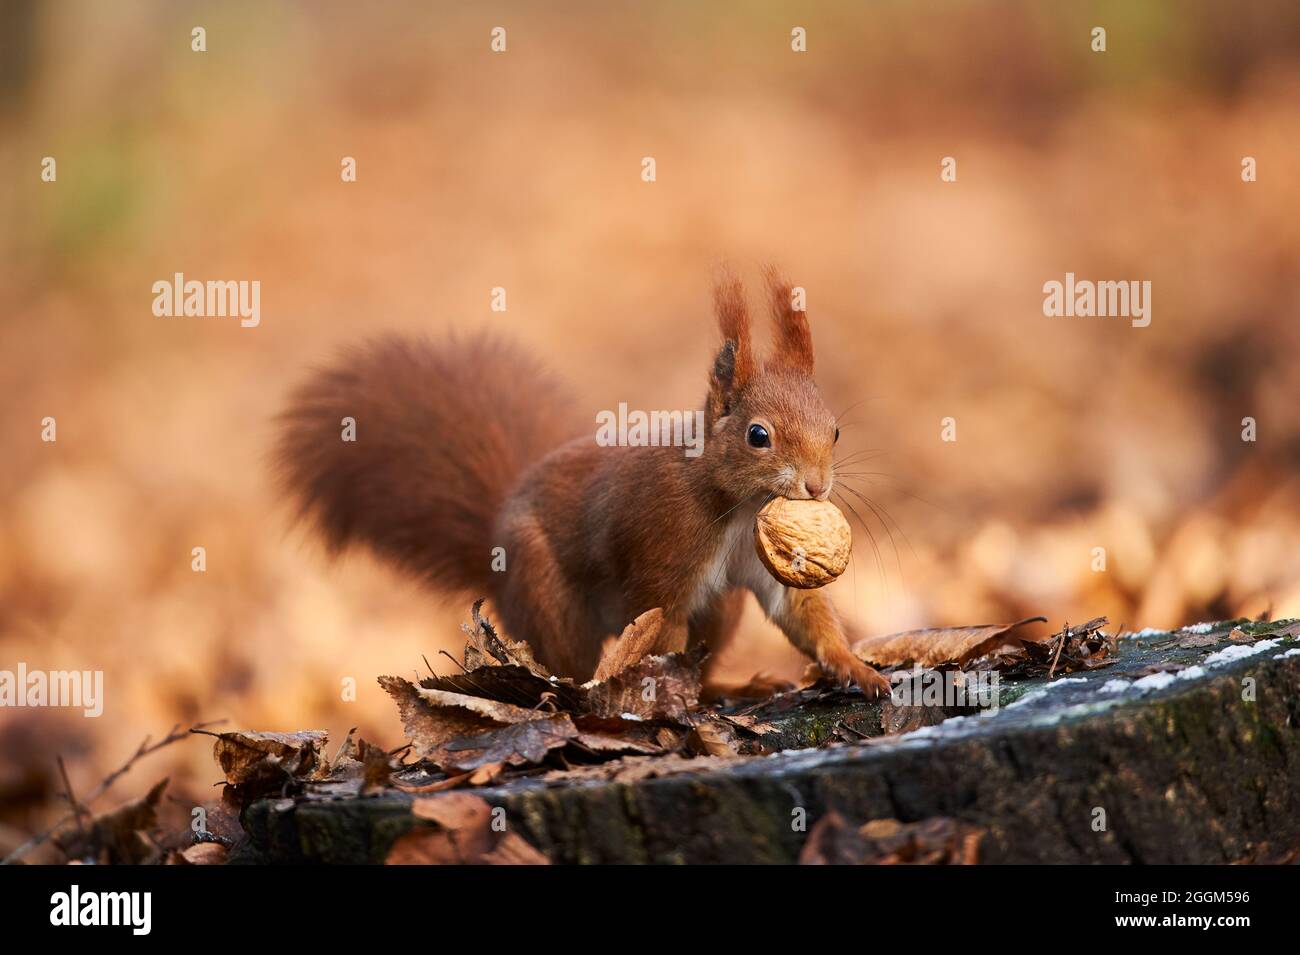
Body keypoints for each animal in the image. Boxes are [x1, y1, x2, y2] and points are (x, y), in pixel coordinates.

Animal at [280, 268, 894, 696]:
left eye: (836, 430)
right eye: (758, 435)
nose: (816, 486)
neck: (740, 507)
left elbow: (804, 614)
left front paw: (857, 669)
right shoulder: (664, 552)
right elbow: (662, 632)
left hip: (722, 610)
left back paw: (728, 687)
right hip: (547, 594)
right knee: (569, 665)